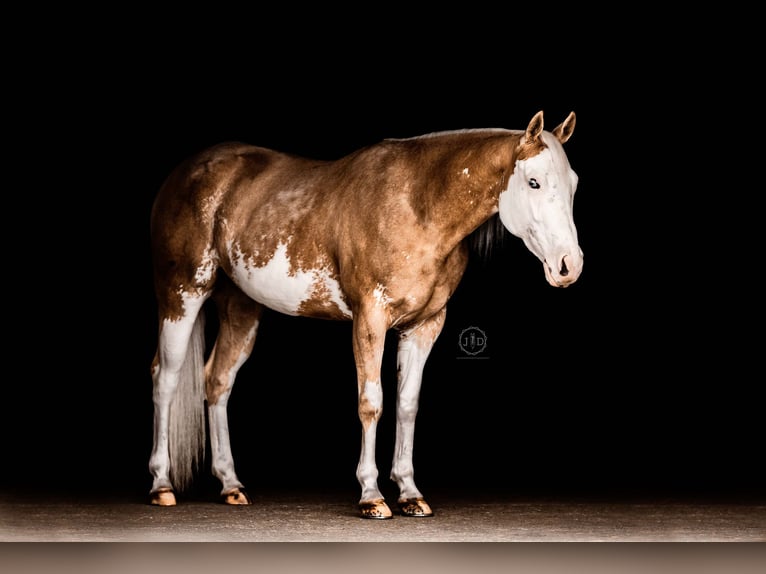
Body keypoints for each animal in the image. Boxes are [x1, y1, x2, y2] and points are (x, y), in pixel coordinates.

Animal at [148, 110, 583, 518]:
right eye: (534, 182)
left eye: (574, 183)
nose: (569, 266)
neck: (417, 204)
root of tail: (187, 172)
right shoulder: (370, 318)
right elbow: (372, 402)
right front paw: (372, 496)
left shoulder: (426, 325)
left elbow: (407, 404)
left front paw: (410, 493)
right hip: (183, 293)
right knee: (165, 378)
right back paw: (161, 485)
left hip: (240, 307)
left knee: (217, 382)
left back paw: (231, 485)